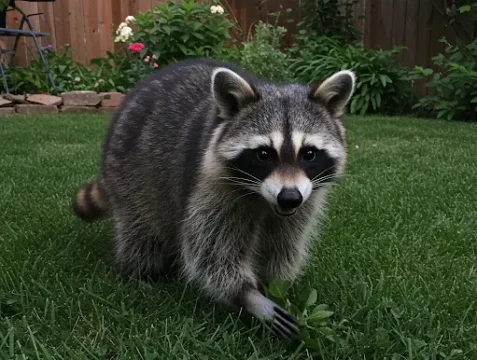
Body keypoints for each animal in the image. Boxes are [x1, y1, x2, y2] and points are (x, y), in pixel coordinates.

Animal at [72, 57, 356, 338]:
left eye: (309, 153)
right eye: (263, 154)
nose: (288, 197)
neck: (263, 200)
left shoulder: (304, 202)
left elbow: (284, 243)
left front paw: (280, 285)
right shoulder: (211, 188)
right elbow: (211, 251)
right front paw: (247, 295)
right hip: (131, 172)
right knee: (142, 232)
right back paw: (140, 272)